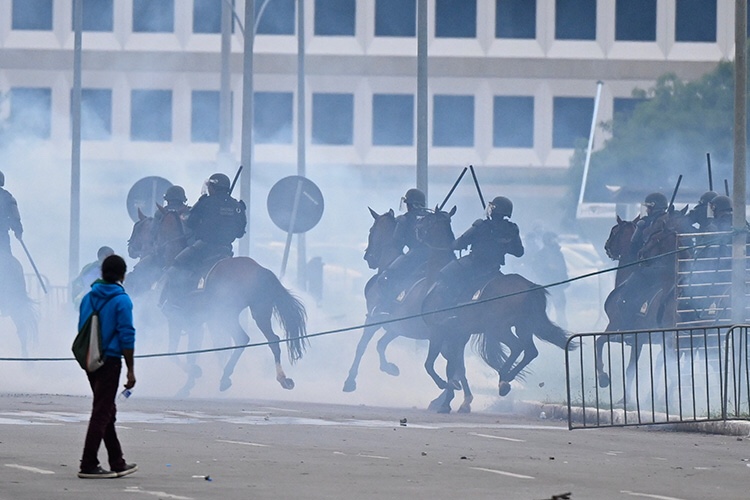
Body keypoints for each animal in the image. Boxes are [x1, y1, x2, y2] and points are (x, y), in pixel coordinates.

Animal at [126, 207, 308, 394]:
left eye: (142, 226)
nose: (131, 248)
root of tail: (261, 270)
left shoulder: (179, 321)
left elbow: (175, 354)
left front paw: (193, 376)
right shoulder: (197, 324)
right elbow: (194, 352)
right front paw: (190, 381)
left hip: (228, 314)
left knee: (242, 338)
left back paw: (225, 377)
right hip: (259, 312)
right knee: (273, 340)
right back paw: (281, 379)